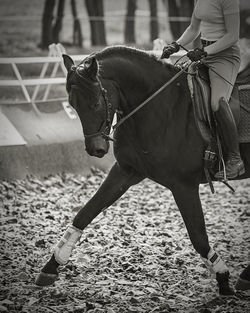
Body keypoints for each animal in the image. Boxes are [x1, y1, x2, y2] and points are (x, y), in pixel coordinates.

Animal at [35, 45, 250, 292]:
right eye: (72, 105)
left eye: (97, 102)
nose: (95, 148)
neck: (160, 106)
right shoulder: (126, 171)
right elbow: (84, 214)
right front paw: (50, 267)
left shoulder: (183, 185)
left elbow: (198, 237)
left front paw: (223, 278)